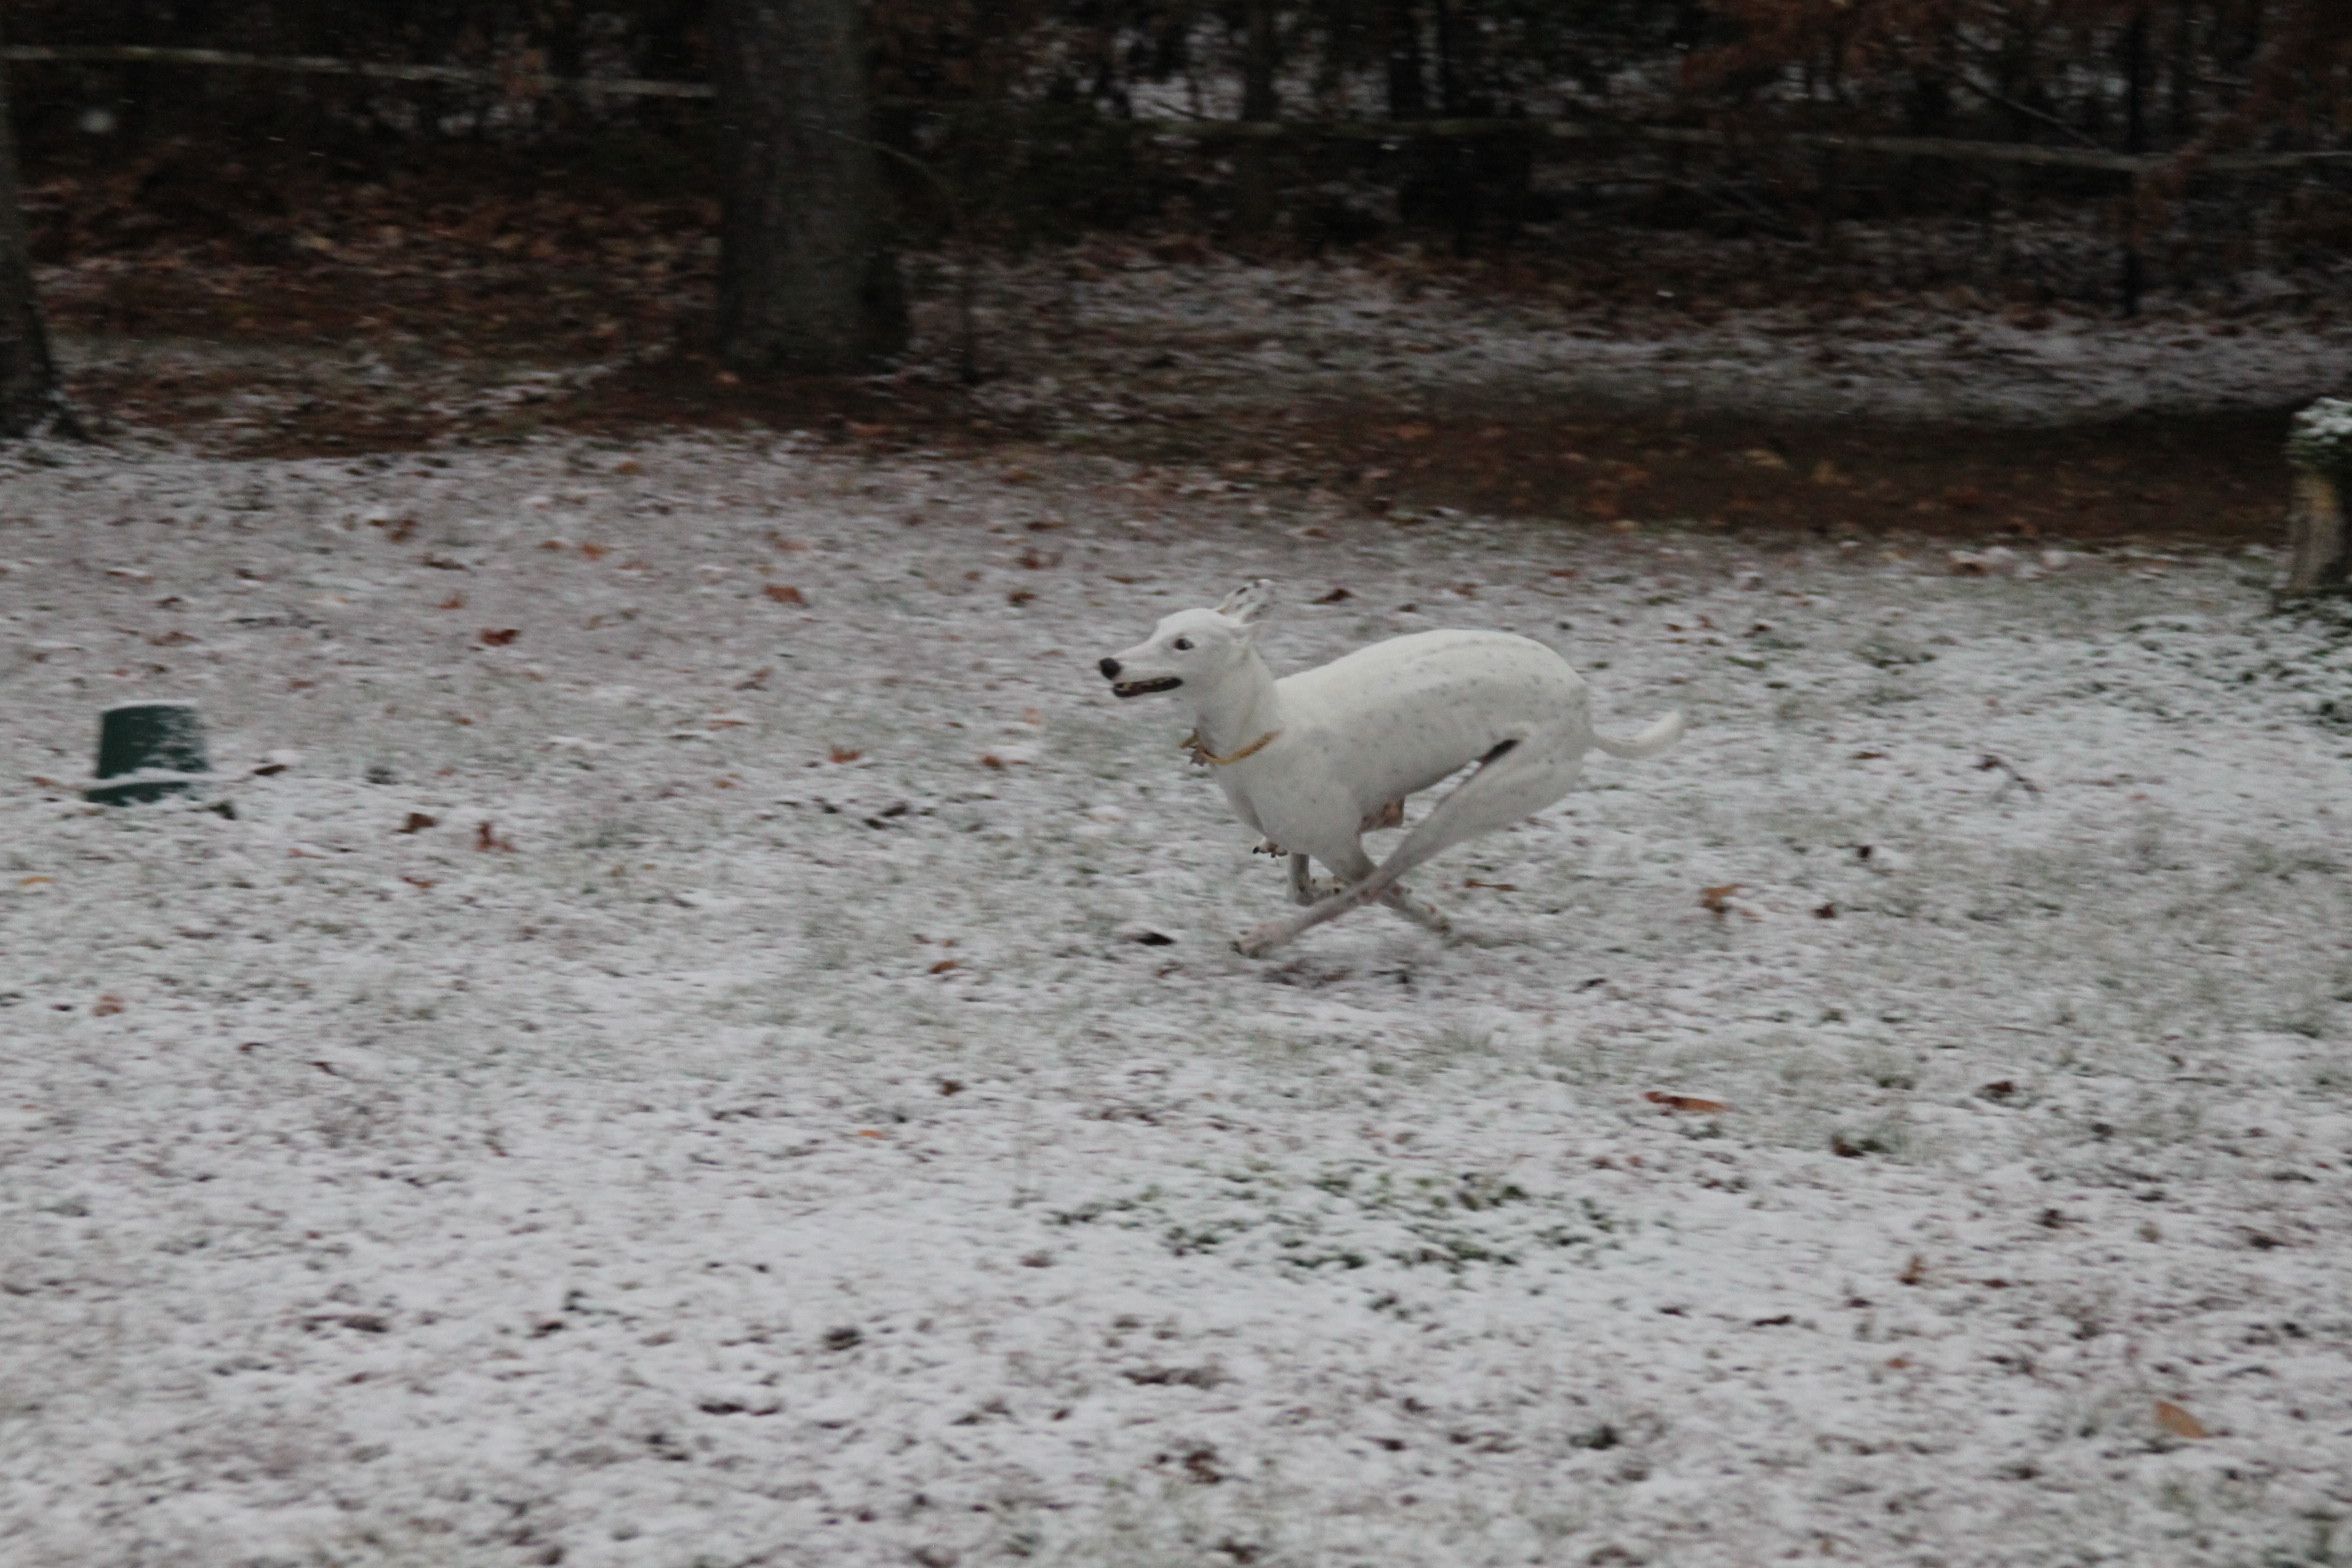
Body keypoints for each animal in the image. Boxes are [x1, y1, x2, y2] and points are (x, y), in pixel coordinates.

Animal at [1098, 580, 1683, 956]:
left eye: (1183, 644)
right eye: (1157, 627)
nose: (1108, 663)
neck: (1261, 724)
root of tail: (1584, 709)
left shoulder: (1337, 842)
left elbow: (1363, 888)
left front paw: (1419, 912)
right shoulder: (1313, 835)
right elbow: (1302, 884)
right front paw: (1317, 877)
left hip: (1474, 802)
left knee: (1379, 883)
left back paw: (1271, 937)